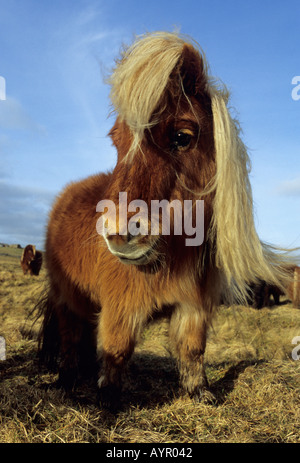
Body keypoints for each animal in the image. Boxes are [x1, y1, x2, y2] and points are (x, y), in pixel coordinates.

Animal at [38, 31, 294, 410]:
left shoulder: (193, 306)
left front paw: (201, 394)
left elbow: (192, 350)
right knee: (70, 338)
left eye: (181, 137)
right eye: (117, 141)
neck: (173, 253)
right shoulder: (121, 307)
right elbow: (116, 351)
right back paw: (66, 380)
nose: (118, 233)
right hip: (67, 298)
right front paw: (108, 401)